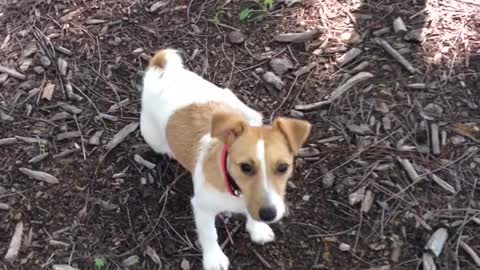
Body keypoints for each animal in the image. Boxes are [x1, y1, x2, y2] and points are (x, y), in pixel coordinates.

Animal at [140, 49, 312, 270]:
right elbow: (209, 234)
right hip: (153, 137)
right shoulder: (202, 208)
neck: (234, 189)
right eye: (245, 167)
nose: (269, 214)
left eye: (283, 167)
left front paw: (257, 228)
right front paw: (214, 258)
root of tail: (161, 69)